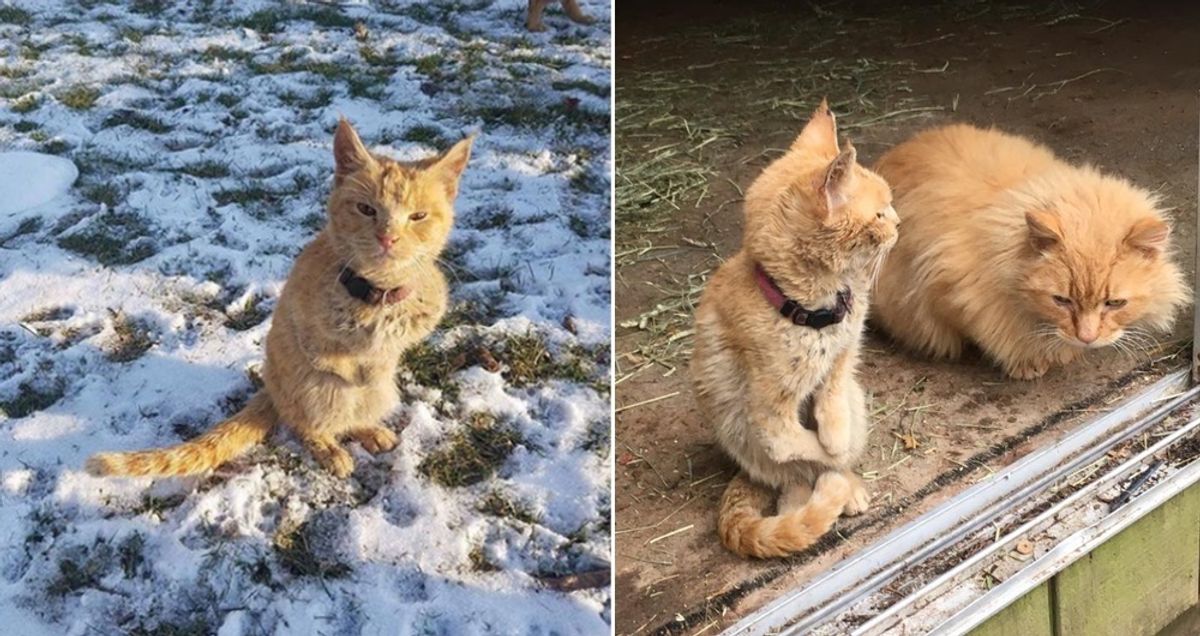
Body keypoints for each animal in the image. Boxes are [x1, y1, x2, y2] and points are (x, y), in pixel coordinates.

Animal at [87, 118, 472, 475]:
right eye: (366, 209)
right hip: (310, 387)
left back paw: (371, 429)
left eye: (418, 216)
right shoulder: (309, 338)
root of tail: (270, 388)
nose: (387, 238)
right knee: (306, 418)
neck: (377, 294)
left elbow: (386, 357)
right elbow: (341, 368)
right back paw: (330, 447)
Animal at [691, 101, 897, 556]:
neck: (813, 308)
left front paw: (836, 436)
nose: (899, 222)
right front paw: (834, 462)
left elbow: (833, 404)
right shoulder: (769, 415)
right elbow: (802, 448)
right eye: (879, 213)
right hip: (739, 432)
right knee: (792, 486)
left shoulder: (845, 358)